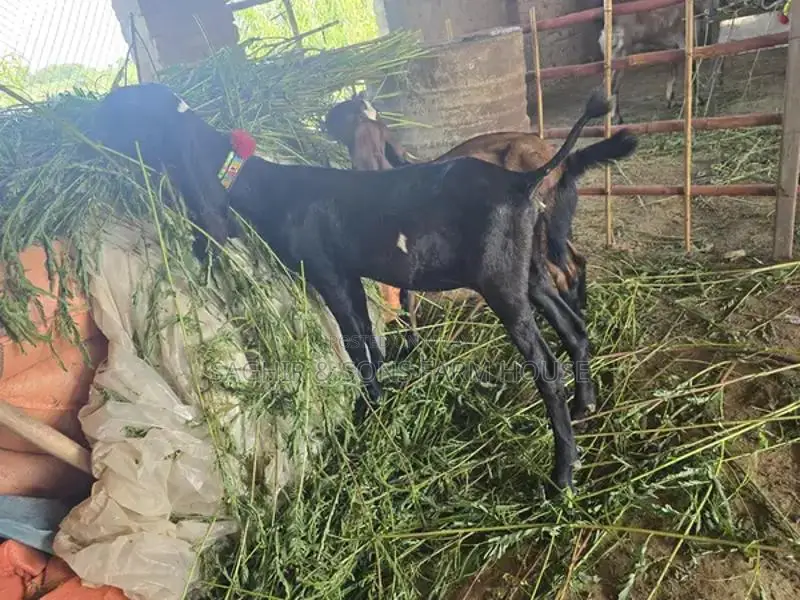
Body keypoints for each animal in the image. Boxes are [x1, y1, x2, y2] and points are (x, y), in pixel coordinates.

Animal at [88, 82, 637, 492]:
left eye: (128, 111)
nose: (89, 118)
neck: (267, 187)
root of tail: (524, 182)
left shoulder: (326, 273)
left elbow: (356, 345)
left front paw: (368, 411)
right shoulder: (350, 275)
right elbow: (370, 339)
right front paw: (381, 395)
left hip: (500, 282)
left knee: (546, 364)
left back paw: (561, 475)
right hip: (530, 272)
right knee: (574, 326)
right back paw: (586, 406)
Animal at [590, 0, 721, 124]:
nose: (712, 12)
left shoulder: (672, 48)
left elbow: (673, 71)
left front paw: (670, 101)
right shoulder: (683, 41)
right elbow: (692, 70)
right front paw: (699, 100)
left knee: (614, 86)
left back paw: (617, 118)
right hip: (619, 55)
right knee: (610, 85)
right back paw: (615, 118)